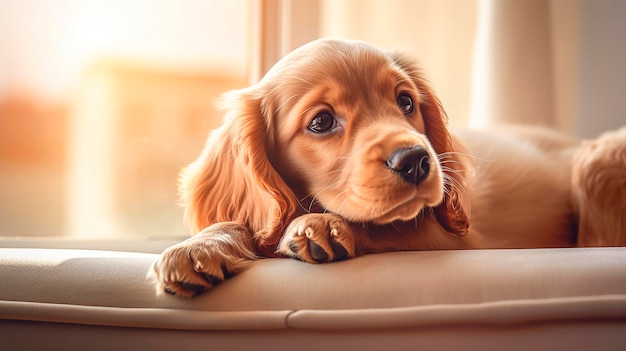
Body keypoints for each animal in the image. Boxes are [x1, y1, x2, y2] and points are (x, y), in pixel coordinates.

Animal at [151, 37, 624, 296]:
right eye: (322, 122)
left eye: (406, 102)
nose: (415, 161)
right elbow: (247, 222)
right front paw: (200, 246)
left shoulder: (453, 240)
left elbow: (386, 229)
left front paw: (321, 226)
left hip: (597, 161)